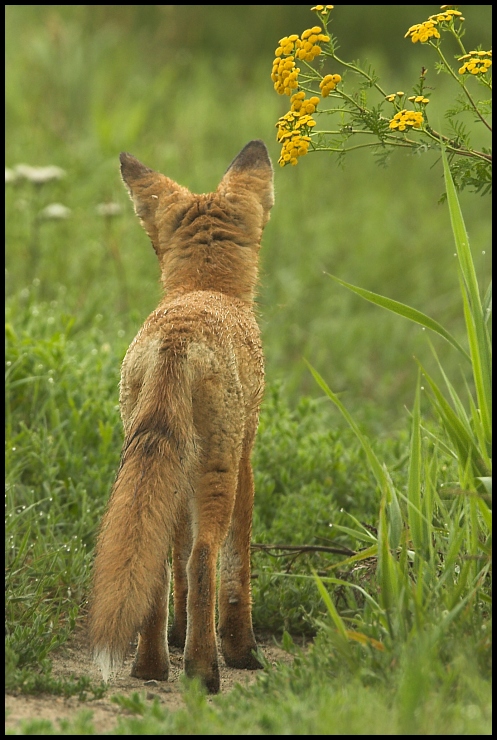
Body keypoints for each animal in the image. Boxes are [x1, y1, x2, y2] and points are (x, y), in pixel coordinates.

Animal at [89, 139, 276, 692]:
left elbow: (170, 561)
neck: (203, 289)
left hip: (151, 460)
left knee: (157, 567)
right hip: (215, 469)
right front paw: (242, 650)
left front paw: (174, 635)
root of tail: (178, 336)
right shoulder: (245, 457)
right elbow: (236, 566)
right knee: (202, 560)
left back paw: (151, 665)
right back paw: (203, 670)